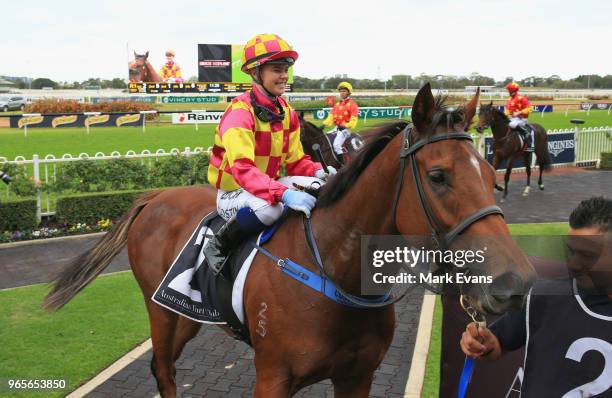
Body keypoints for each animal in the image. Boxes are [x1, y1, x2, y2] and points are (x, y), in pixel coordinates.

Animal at [44, 83, 536, 394]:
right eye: (437, 176)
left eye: (488, 173)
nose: (516, 282)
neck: (335, 271)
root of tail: (155, 196)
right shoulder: (273, 377)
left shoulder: (357, 377)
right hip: (159, 312)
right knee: (163, 372)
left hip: (184, 313)